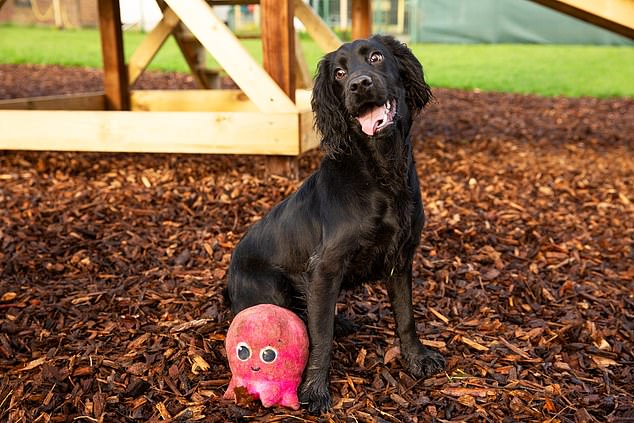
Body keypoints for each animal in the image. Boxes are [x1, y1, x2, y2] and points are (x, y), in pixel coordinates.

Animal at [227, 34, 444, 414]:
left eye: (376, 57)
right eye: (340, 74)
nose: (359, 84)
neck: (382, 175)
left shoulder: (401, 258)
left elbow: (406, 316)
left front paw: (417, 358)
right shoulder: (325, 267)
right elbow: (320, 338)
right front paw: (315, 390)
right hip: (274, 286)